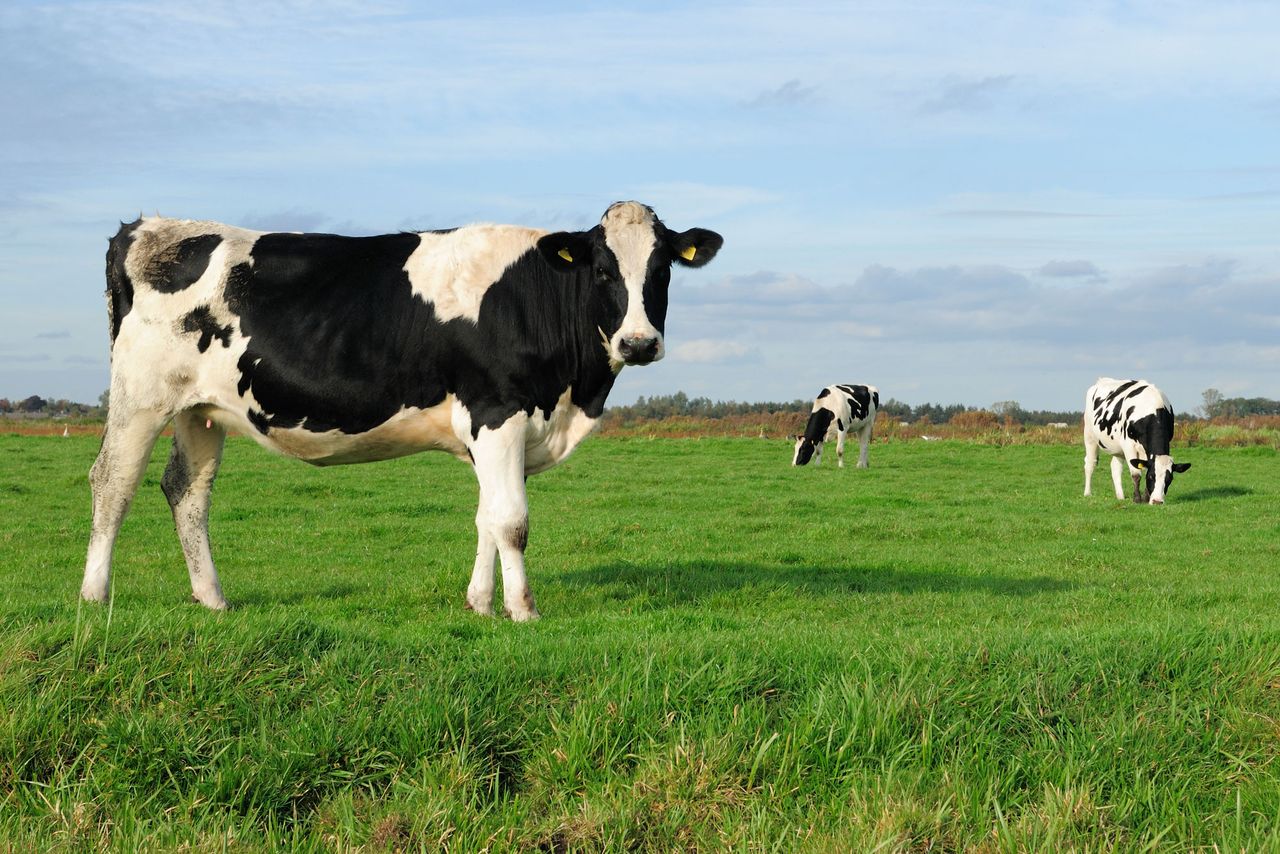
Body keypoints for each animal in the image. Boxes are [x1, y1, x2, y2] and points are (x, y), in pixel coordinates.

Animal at [81, 202, 722, 620]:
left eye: (662, 269)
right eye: (603, 270)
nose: (638, 343)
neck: (570, 395)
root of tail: (146, 226)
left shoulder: (486, 431)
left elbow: (486, 517)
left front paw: (479, 604)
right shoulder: (498, 411)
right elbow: (511, 521)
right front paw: (523, 611)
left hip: (201, 409)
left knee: (186, 491)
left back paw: (212, 599)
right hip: (140, 397)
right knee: (113, 483)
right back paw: (95, 595)